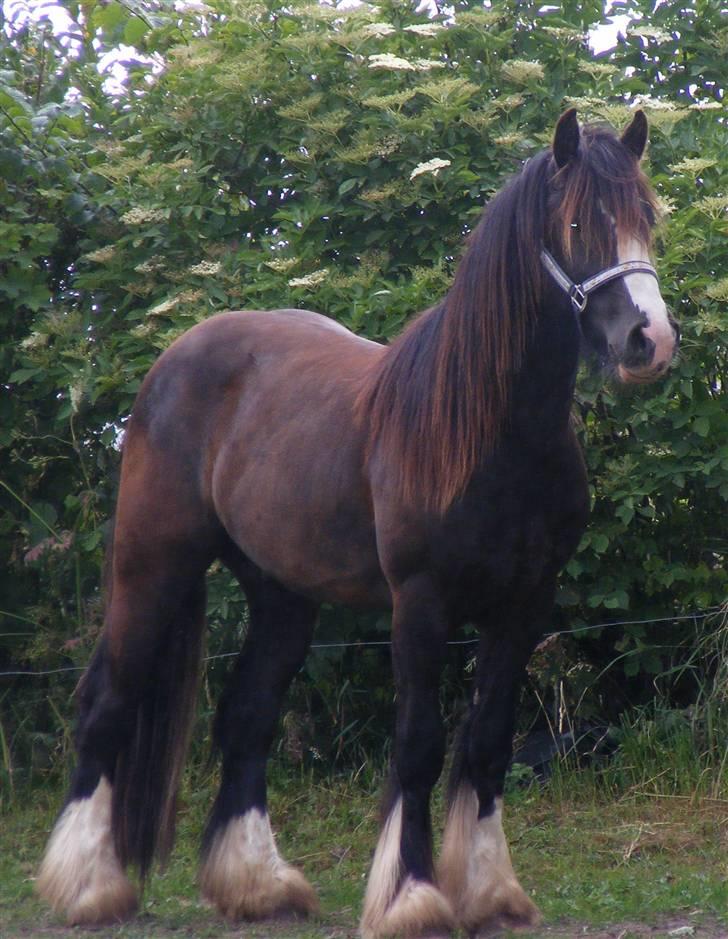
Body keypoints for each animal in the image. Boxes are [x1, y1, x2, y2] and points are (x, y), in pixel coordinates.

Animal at [38, 106, 676, 936]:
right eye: (577, 223)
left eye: (646, 219)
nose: (649, 340)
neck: (492, 430)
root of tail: (174, 358)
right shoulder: (421, 602)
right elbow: (419, 745)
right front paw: (411, 894)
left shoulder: (523, 607)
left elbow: (490, 741)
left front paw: (490, 889)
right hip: (152, 562)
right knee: (108, 702)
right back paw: (88, 882)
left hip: (281, 594)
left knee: (246, 717)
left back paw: (257, 883)